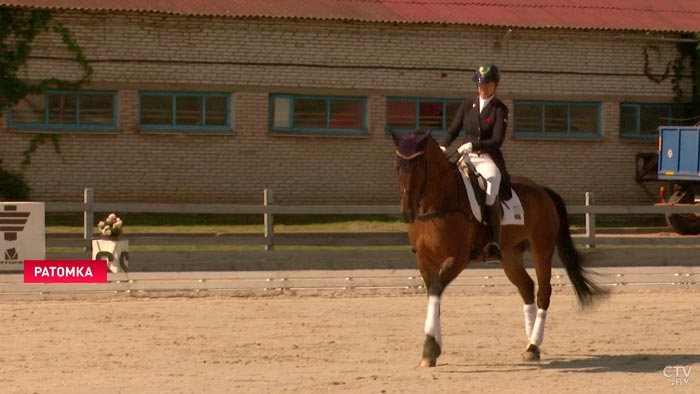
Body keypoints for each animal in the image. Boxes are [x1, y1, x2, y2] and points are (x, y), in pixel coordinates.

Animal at [392, 131, 604, 368]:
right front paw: (433, 349)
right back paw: (532, 342)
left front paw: (430, 348)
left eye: (420, 165)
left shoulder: (457, 258)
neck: (437, 204)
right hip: (510, 255)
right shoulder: (425, 260)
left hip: (542, 249)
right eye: (397, 166)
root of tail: (542, 190)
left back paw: (533, 345)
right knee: (526, 287)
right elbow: (432, 295)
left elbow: (436, 290)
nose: (407, 212)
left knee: (543, 292)